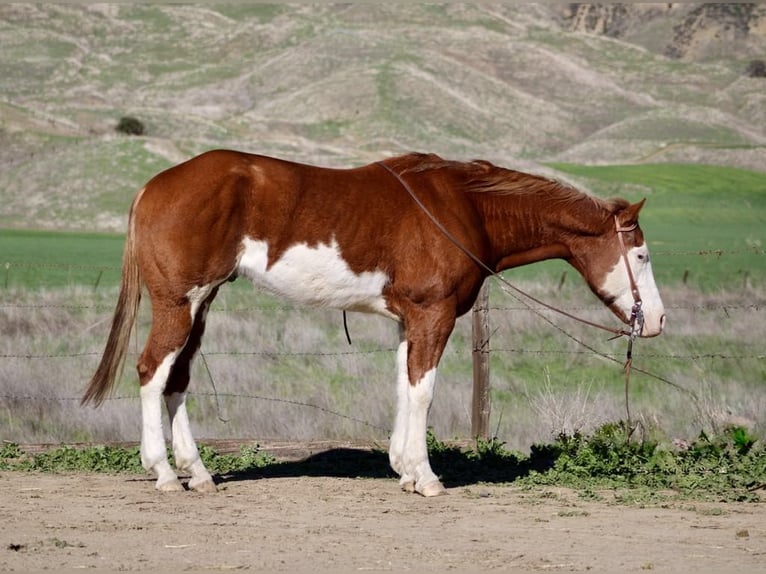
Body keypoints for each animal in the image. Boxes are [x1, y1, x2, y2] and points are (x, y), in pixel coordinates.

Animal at [82, 150, 665, 496]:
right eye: (641, 255)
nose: (657, 320)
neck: (464, 207)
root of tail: (154, 186)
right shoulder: (434, 314)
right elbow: (423, 391)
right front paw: (426, 478)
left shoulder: (409, 320)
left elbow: (404, 388)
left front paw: (404, 468)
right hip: (179, 303)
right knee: (151, 372)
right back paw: (162, 472)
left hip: (200, 305)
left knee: (177, 380)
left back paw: (197, 473)